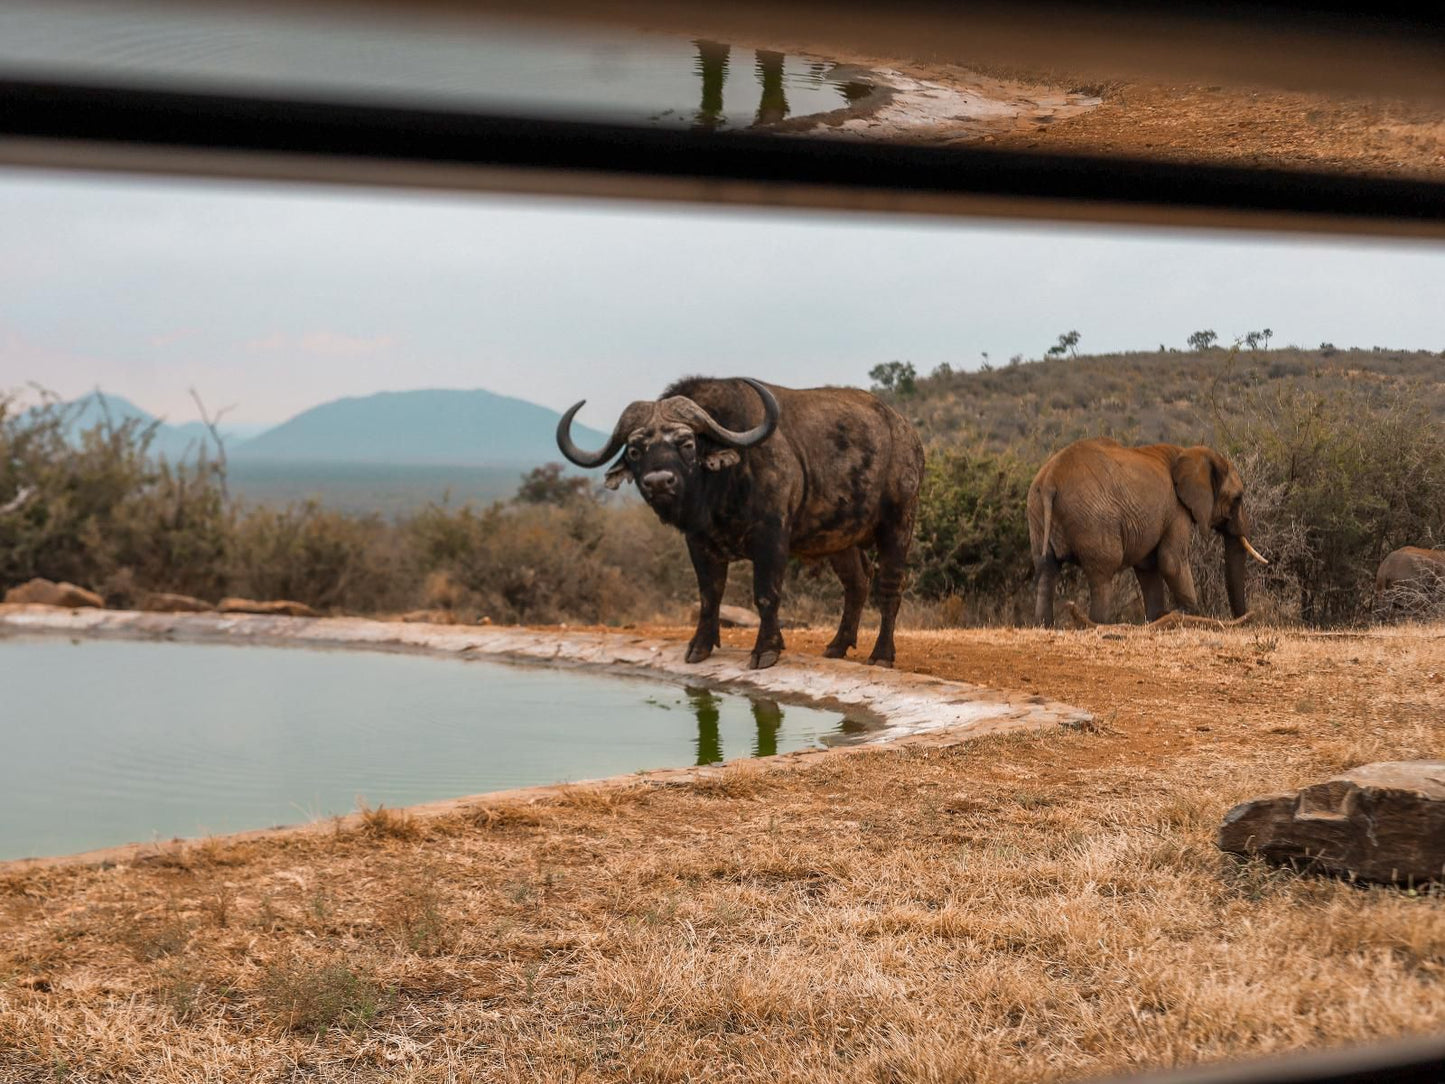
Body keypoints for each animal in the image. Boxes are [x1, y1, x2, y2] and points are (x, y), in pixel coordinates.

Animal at [551, 378, 924, 670]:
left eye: (686, 443)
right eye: (634, 450)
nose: (659, 482)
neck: (719, 489)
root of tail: (905, 430)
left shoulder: (771, 538)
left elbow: (766, 594)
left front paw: (766, 650)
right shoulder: (698, 542)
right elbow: (709, 594)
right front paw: (699, 646)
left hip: (898, 522)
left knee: (889, 585)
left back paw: (882, 654)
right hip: (839, 540)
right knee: (857, 584)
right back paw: (837, 646)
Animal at [1028, 439, 1265, 627]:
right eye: (1238, 498)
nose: (1247, 616)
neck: (1188, 453)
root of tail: (1050, 481)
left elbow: (1147, 566)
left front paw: (1156, 618)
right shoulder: (1176, 510)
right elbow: (1171, 561)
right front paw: (1187, 614)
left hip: (1037, 513)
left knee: (1046, 569)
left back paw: (1044, 625)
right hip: (1092, 519)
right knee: (1102, 572)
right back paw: (1098, 624)